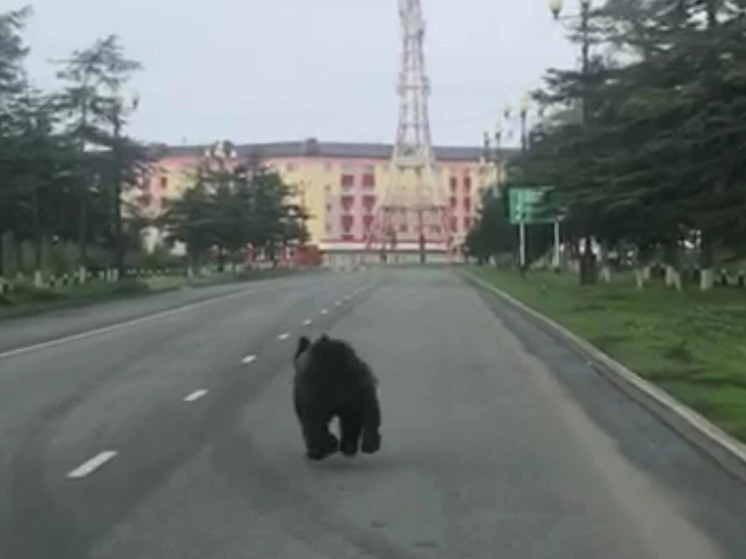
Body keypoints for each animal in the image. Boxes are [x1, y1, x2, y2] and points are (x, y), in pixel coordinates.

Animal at [292, 334, 380, 462]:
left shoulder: (302, 397)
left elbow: (307, 421)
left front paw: (328, 445)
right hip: (360, 386)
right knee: (366, 414)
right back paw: (363, 445)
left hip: (316, 392)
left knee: (314, 424)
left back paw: (321, 450)